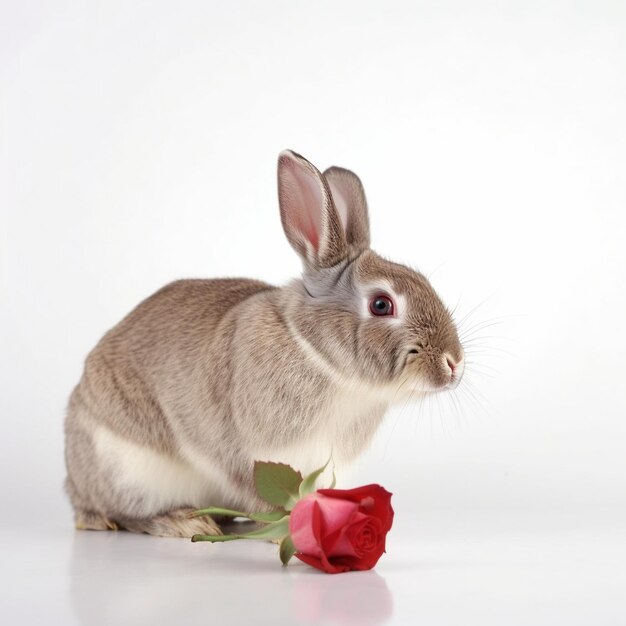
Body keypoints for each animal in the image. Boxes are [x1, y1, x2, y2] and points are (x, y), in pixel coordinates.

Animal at [63, 149, 464, 532]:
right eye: (382, 304)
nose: (454, 364)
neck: (318, 355)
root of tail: (76, 491)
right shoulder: (246, 453)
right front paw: (285, 525)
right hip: (128, 469)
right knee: (126, 513)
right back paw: (182, 521)